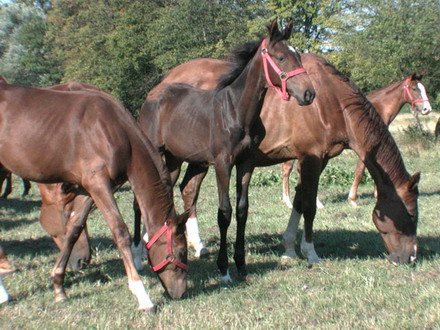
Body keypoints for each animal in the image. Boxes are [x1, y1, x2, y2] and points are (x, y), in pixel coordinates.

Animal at [0, 80, 187, 312]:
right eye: (181, 252)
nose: (181, 292)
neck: (114, 132)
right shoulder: (98, 184)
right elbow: (120, 232)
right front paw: (143, 296)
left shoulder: (89, 188)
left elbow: (74, 228)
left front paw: (59, 285)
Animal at [139, 20, 314, 282]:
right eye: (281, 57)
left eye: (298, 56)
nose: (309, 93)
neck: (236, 111)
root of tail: (150, 97)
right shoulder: (223, 163)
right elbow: (224, 212)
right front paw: (224, 269)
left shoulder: (246, 164)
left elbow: (242, 210)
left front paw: (241, 265)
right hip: (155, 154)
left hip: (172, 161)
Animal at [282, 72, 430, 208]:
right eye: (414, 89)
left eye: (423, 88)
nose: (427, 109)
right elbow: (360, 171)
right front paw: (353, 199)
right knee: (290, 170)